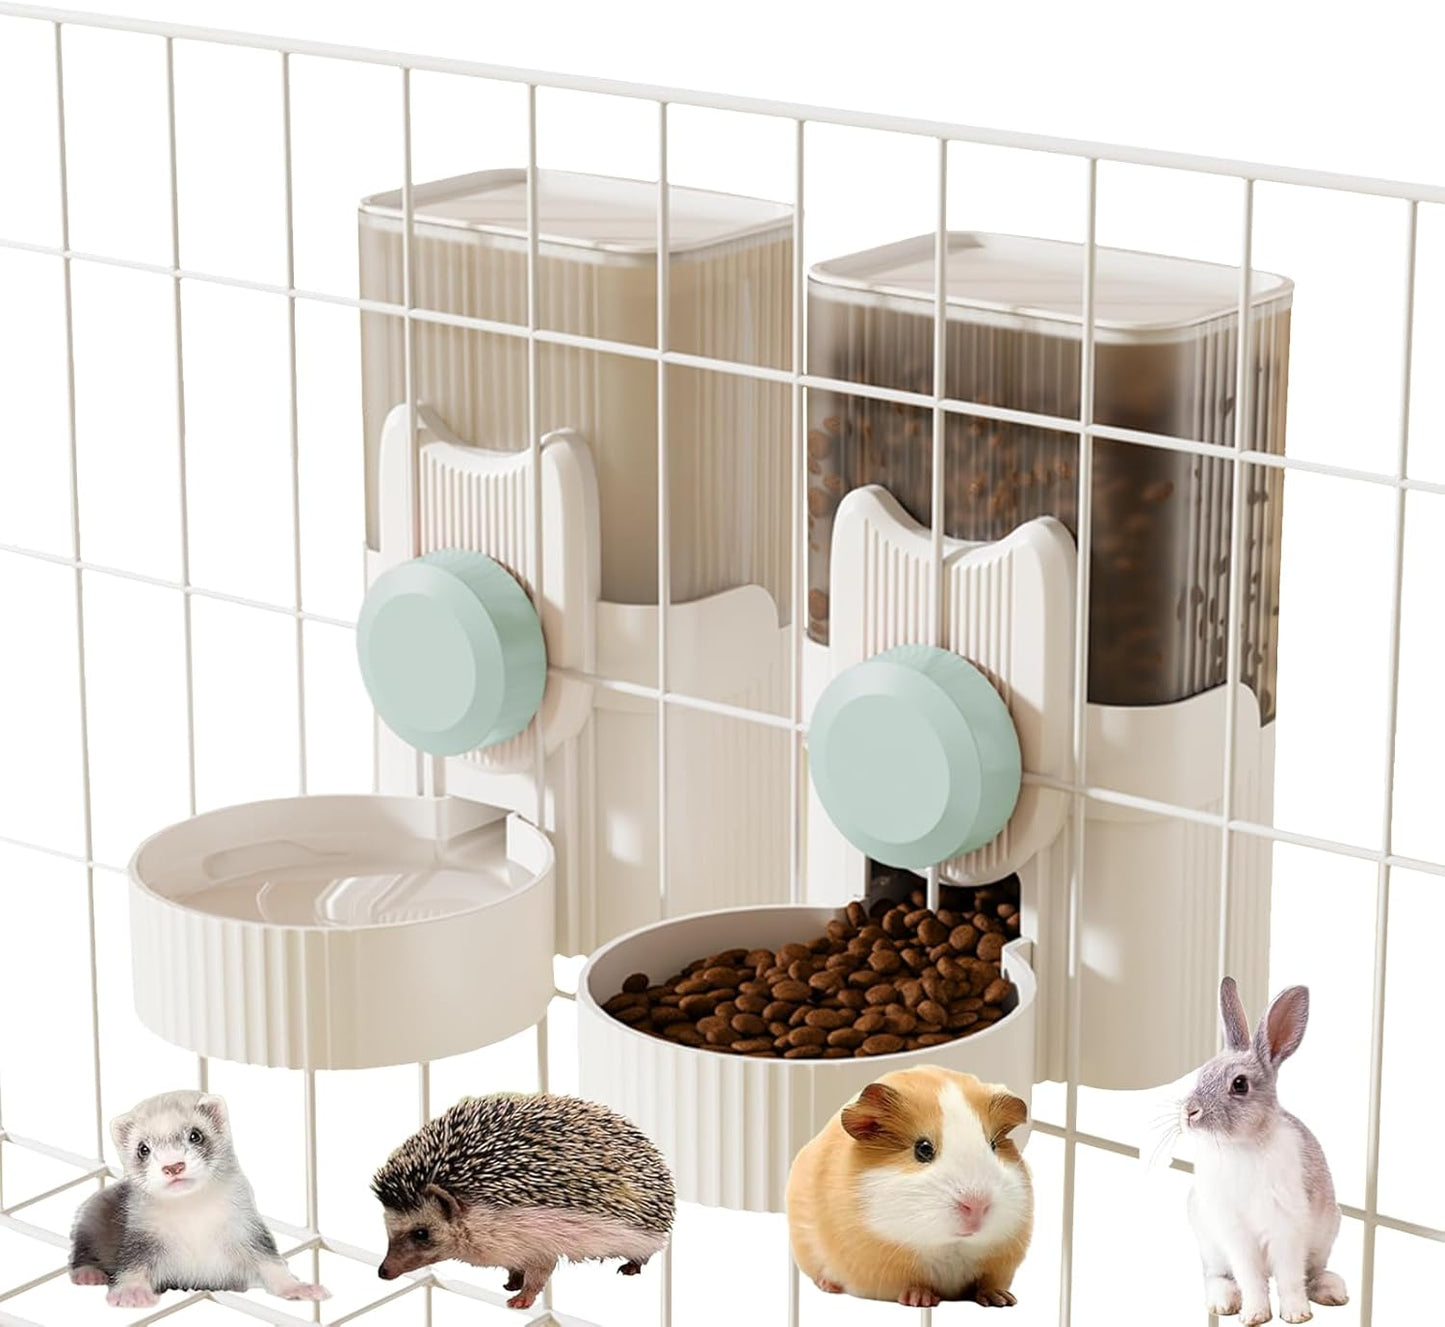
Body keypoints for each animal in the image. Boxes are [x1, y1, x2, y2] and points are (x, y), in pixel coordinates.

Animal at [1181, 977, 1348, 1325]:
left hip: (1325, 1235)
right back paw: (1223, 1302)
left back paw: (1332, 1291)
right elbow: (1251, 1278)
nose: (1189, 1112)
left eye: (1240, 1084)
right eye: (1202, 1074)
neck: (1243, 1145)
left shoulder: (1288, 1229)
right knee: (1216, 1276)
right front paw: (1255, 1315)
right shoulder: (1236, 1234)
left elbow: (1289, 1278)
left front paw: (1297, 1314)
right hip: (1209, 1243)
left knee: (1313, 1272)